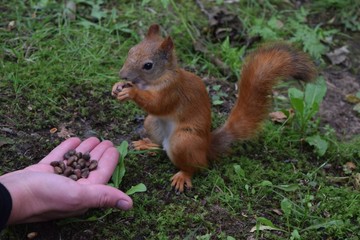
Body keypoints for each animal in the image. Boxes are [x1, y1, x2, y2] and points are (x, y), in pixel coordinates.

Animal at [111, 24, 316, 192]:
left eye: (148, 65)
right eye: (131, 51)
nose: (122, 74)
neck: (154, 81)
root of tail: (206, 147)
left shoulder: (172, 92)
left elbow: (157, 104)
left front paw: (131, 92)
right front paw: (117, 87)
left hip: (183, 140)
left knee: (196, 165)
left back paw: (183, 175)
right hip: (151, 123)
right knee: (161, 144)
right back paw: (147, 143)